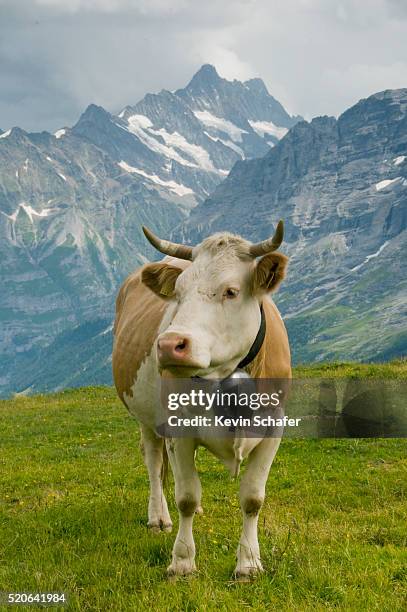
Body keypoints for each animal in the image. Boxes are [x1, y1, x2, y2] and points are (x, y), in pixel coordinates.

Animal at [111, 221, 292, 580]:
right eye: (178, 294)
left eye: (231, 291)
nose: (169, 344)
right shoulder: (179, 431)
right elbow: (186, 498)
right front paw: (182, 562)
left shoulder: (273, 429)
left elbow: (253, 498)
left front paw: (248, 564)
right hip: (146, 417)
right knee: (154, 463)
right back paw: (159, 518)